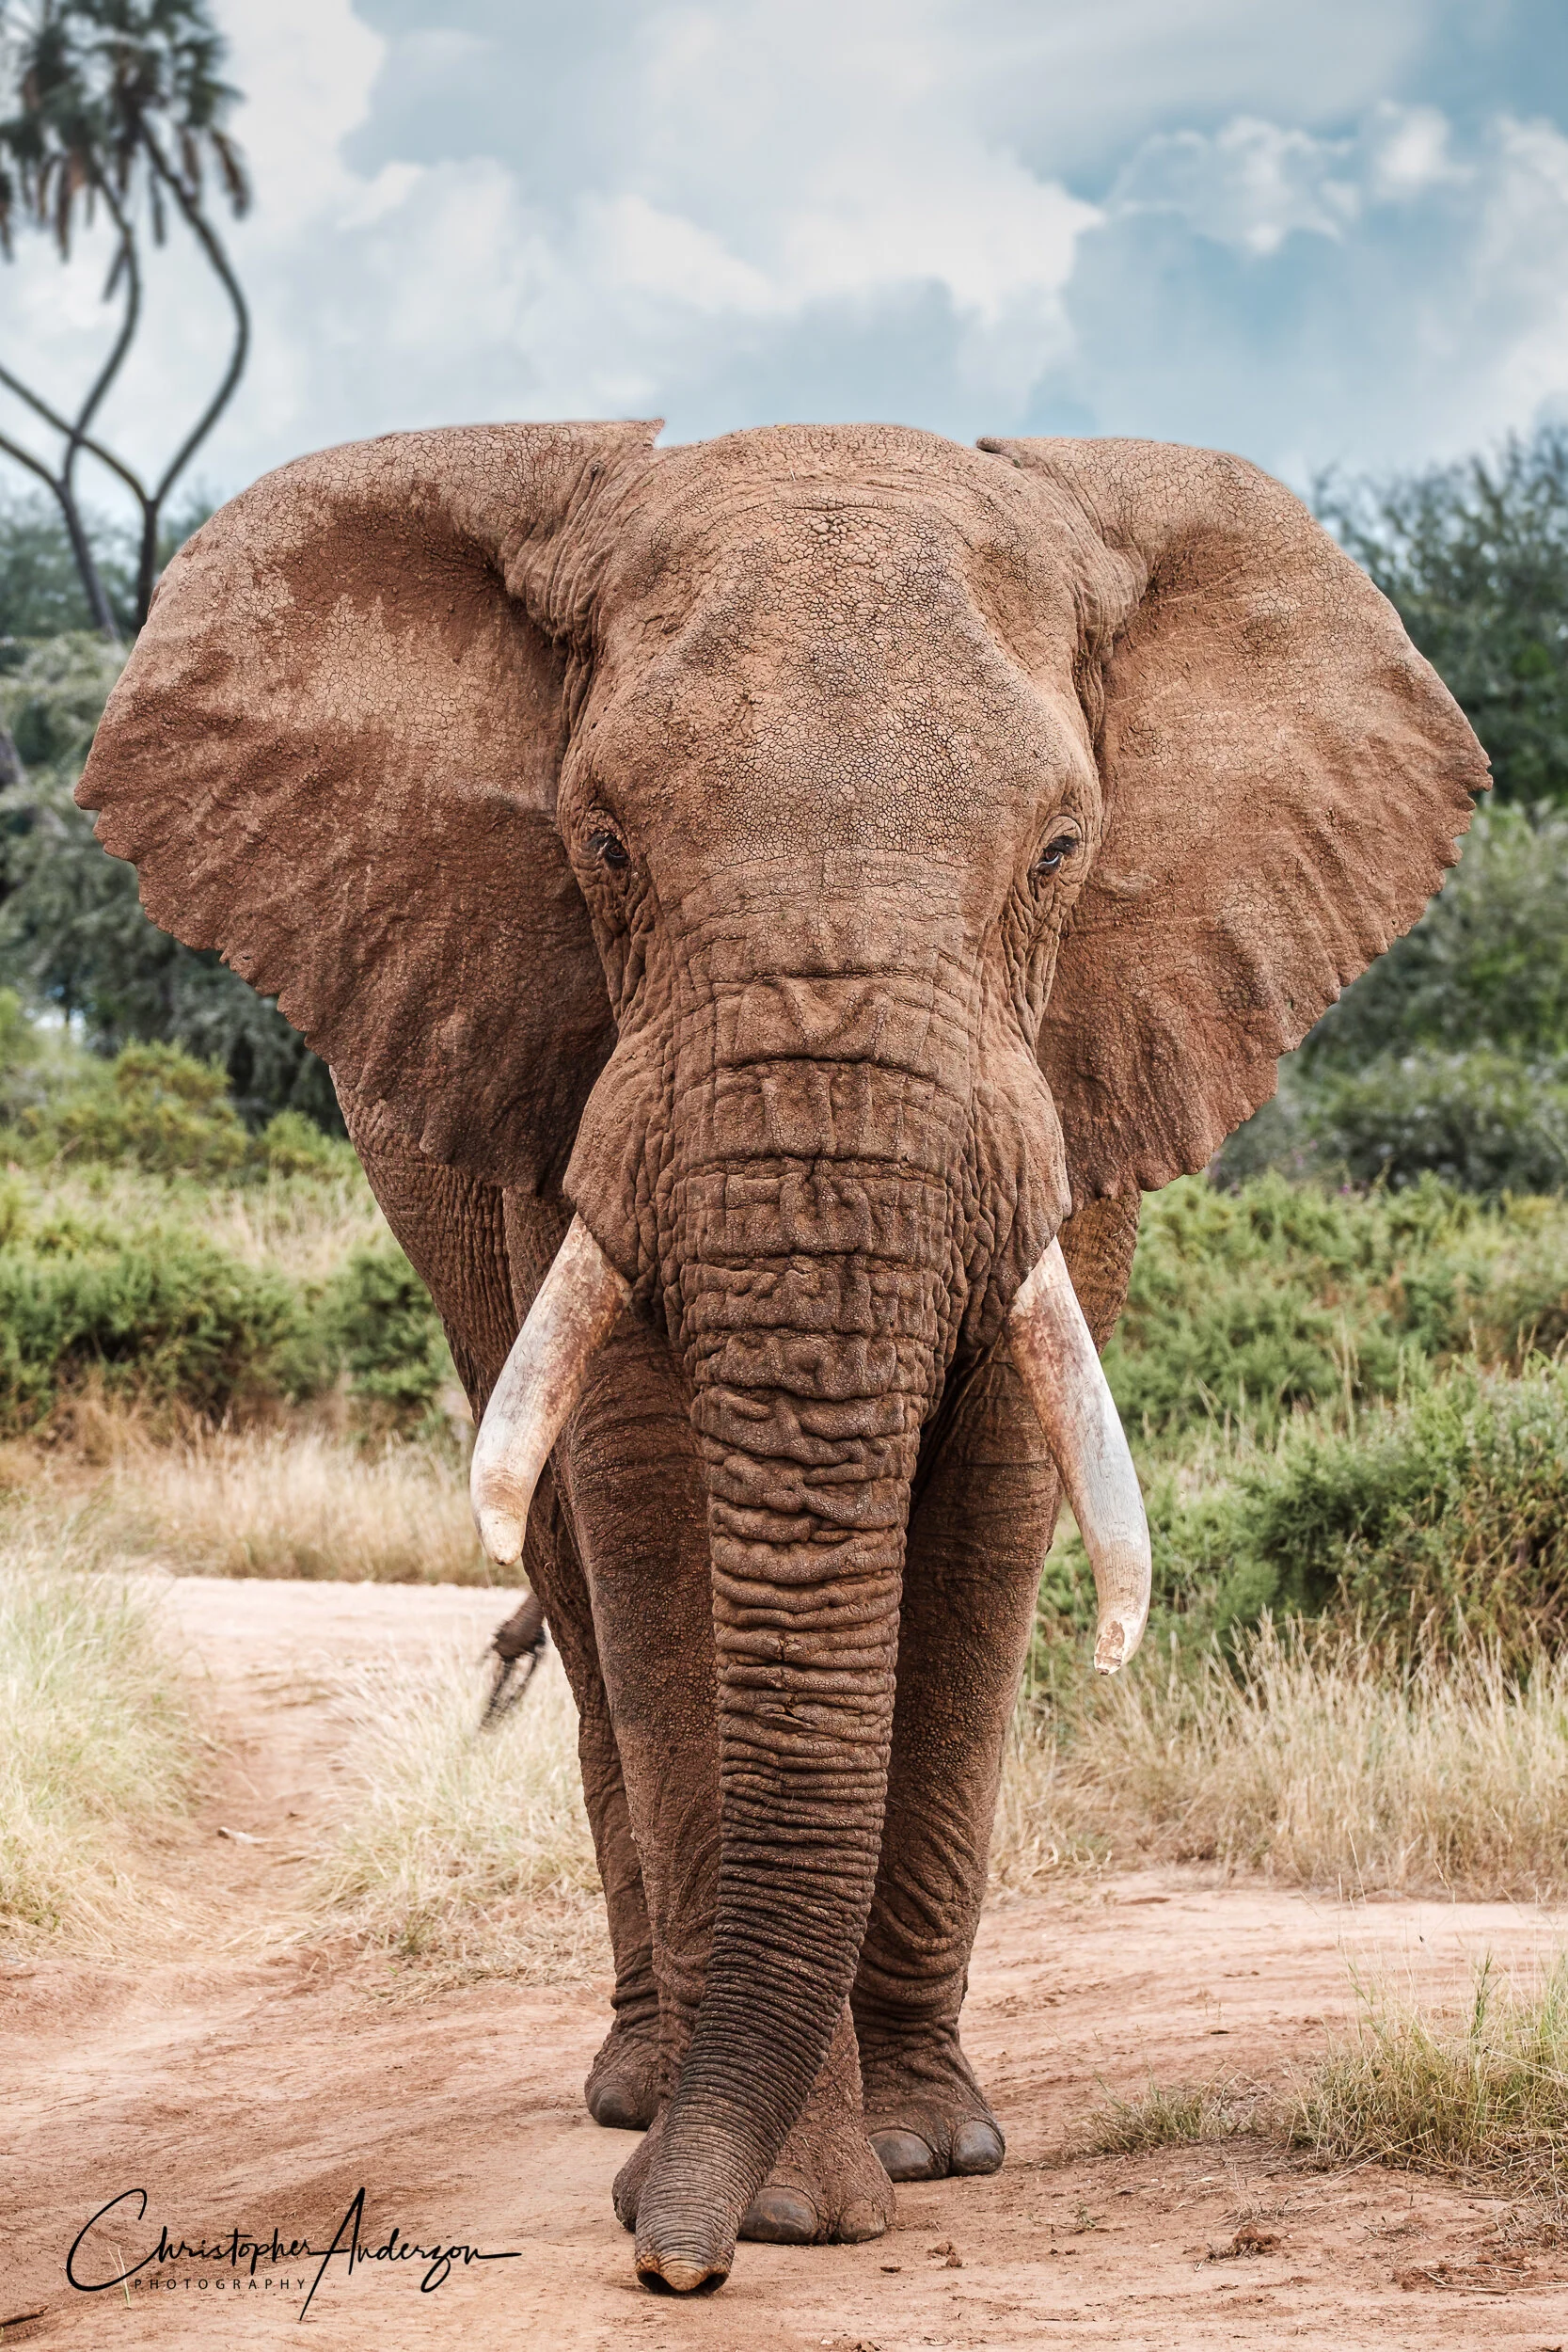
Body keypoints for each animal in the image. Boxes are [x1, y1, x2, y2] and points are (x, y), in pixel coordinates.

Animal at [77, 421, 1486, 2295]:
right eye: (599, 845)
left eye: (1061, 851)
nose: (669, 2263)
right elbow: (650, 1505)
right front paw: (780, 2206)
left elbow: (985, 1515)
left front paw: (920, 2155)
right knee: (567, 1578)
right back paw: (637, 2089)